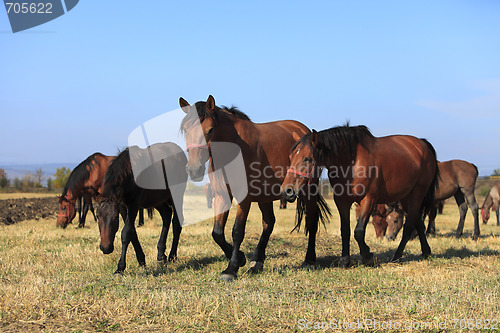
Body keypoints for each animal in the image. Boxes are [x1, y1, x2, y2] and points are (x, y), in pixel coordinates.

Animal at [96, 141, 187, 274]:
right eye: (97, 216)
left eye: (115, 218)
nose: (105, 247)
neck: (129, 174)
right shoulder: (123, 207)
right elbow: (132, 233)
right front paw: (141, 260)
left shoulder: (133, 206)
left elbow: (126, 233)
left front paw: (120, 267)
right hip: (157, 199)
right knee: (166, 215)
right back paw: (161, 255)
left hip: (176, 194)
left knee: (176, 223)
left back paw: (172, 256)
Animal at [178, 95, 330, 280]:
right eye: (185, 130)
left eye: (211, 129)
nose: (194, 169)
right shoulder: (222, 195)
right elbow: (217, 233)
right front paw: (241, 258)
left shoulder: (244, 199)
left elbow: (237, 231)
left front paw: (231, 268)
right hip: (265, 196)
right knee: (269, 223)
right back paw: (257, 261)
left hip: (308, 191)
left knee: (312, 222)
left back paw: (309, 259)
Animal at [282, 123, 438, 266]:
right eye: (290, 156)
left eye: (307, 158)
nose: (287, 190)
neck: (352, 163)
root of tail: (422, 144)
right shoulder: (342, 201)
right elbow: (345, 230)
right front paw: (345, 260)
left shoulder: (368, 199)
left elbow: (359, 231)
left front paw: (367, 255)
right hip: (406, 198)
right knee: (418, 222)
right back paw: (426, 252)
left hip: (416, 195)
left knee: (409, 225)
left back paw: (397, 256)